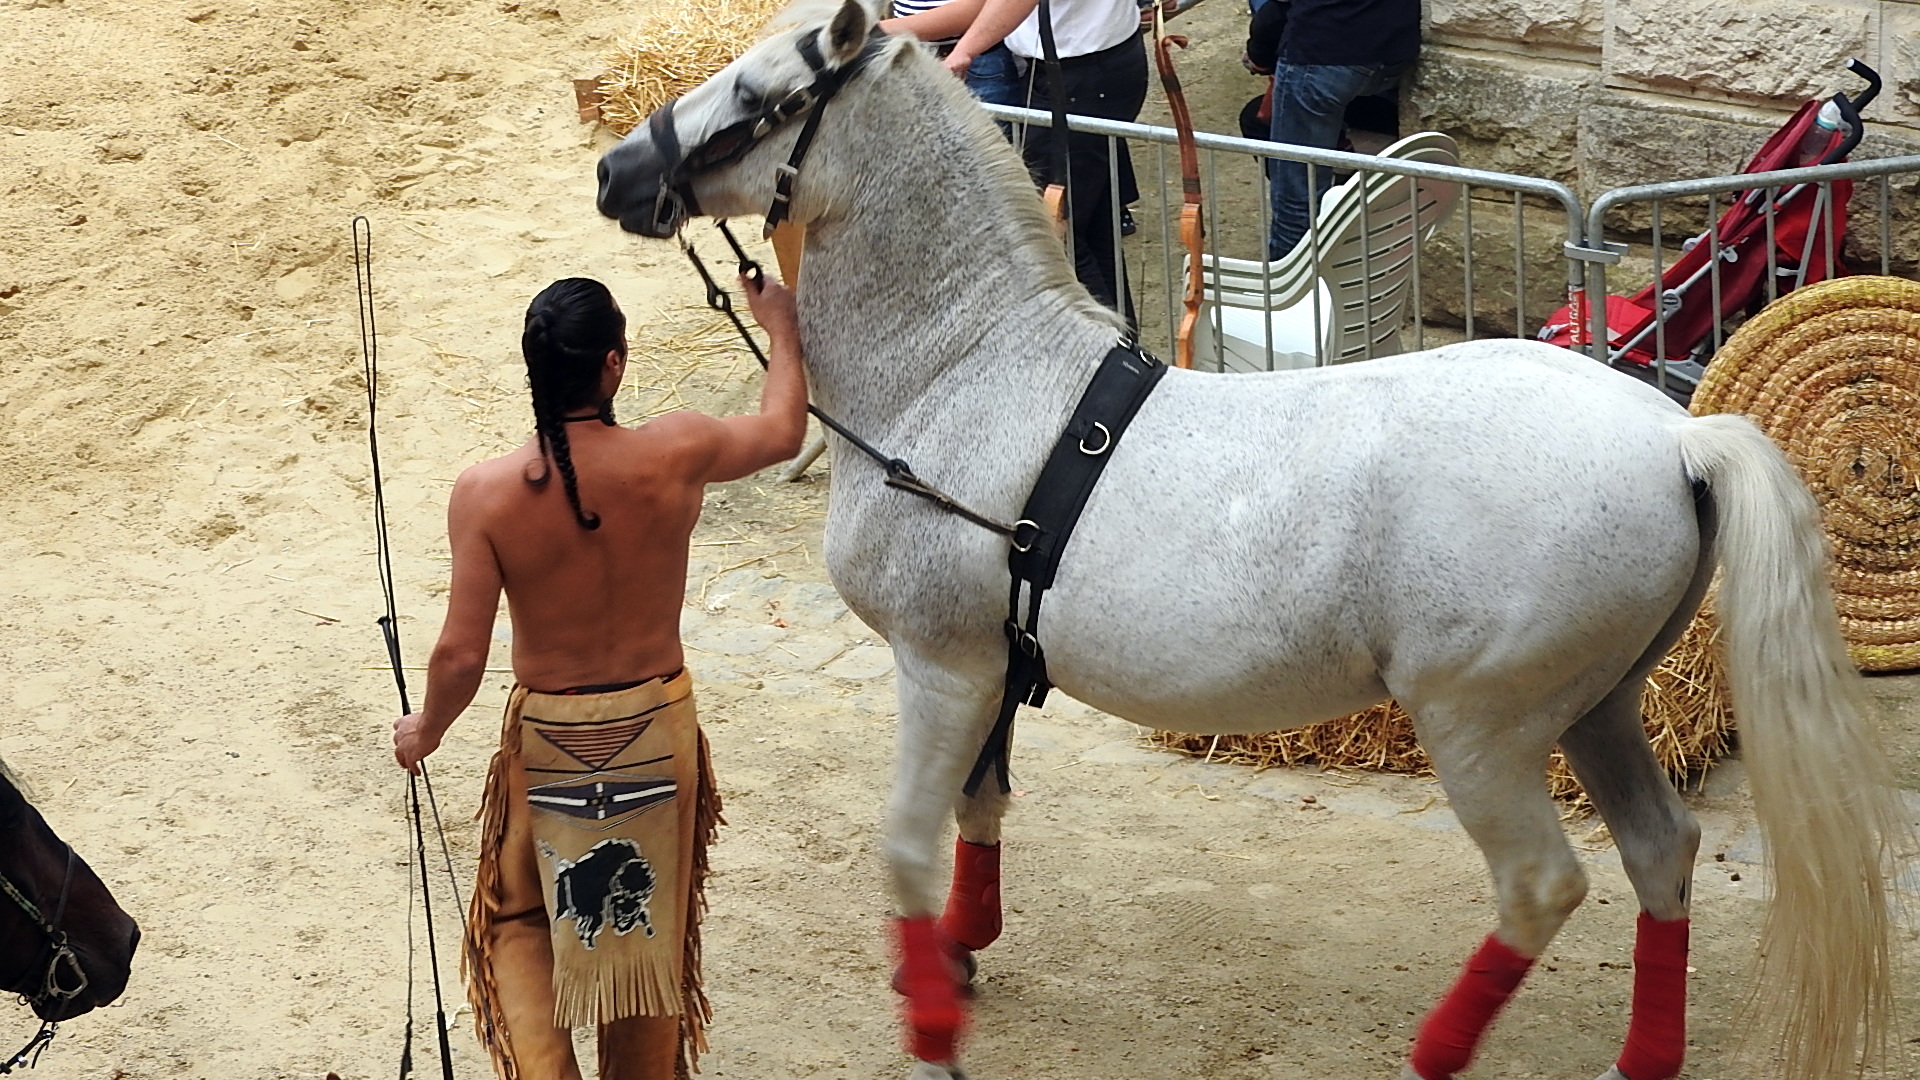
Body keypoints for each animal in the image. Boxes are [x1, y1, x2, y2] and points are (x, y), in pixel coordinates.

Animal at [593, 3, 1914, 1077]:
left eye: (758, 92)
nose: (616, 169)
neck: (966, 374)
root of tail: (1676, 436)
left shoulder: (940, 665)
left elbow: (909, 848)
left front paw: (932, 1030)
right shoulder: (990, 671)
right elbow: (981, 813)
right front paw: (962, 955)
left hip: (1481, 727)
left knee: (1544, 884)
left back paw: (1434, 1055)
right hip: (1597, 707)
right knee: (1660, 851)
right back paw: (1637, 1060)